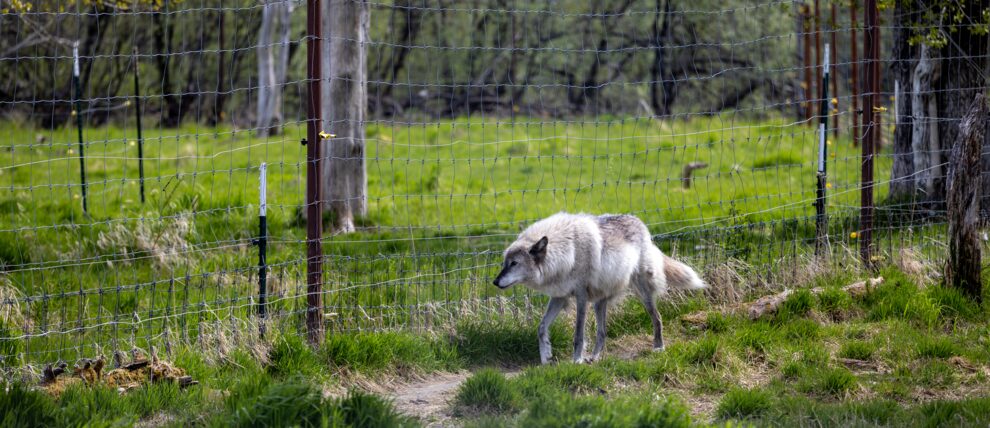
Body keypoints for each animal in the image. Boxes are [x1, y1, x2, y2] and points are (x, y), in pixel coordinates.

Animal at [492, 212, 705, 364]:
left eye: (514, 263)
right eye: (505, 263)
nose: (495, 282)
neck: (567, 251)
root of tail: (641, 225)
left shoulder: (581, 298)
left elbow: (578, 335)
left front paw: (576, 360)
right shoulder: (560, 297)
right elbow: (541, 327)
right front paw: (546, 357)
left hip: (642, 294)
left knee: (658, 318)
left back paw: (658, 347)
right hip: (598, 303)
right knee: (602, 333)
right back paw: (594, 358)